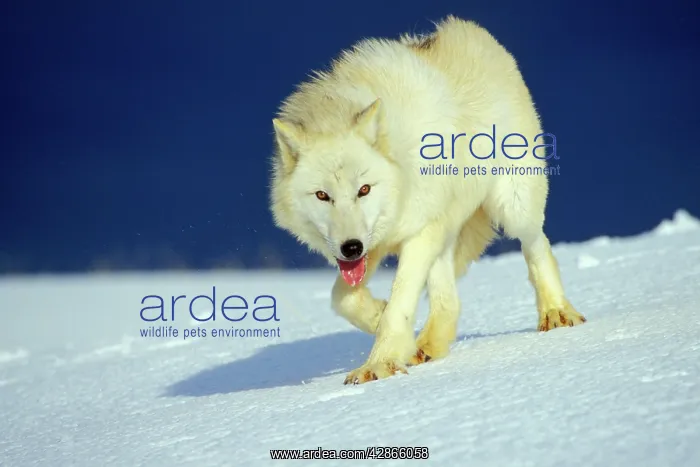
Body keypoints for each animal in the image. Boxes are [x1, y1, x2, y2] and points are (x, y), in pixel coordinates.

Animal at [269, 15, 586, 385]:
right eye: (322, 195)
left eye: (364, 189)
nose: (350, 247)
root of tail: (470, 29)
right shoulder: (375, 245)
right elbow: (341, 297)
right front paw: (377, 317)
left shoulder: (417, 233)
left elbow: (400, 303)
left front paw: (378, 364)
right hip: (446, 233)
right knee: (449, 300)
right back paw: (427, 346)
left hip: (512, 206)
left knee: (537, 245)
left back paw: (557, 312)